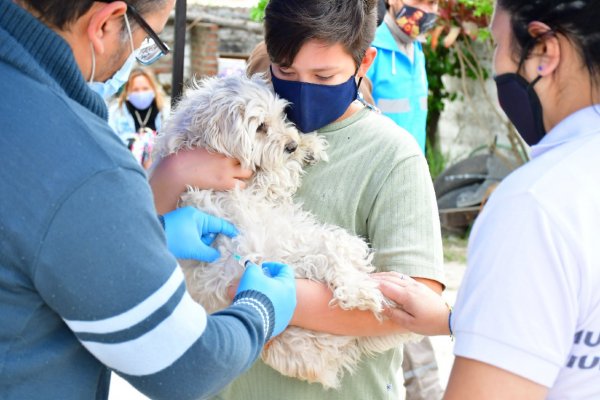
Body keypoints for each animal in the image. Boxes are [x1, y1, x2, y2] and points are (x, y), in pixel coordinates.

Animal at [152, 73, 420, 390]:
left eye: (282, 116)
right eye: (260, 127)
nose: (291, 144)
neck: (199, 141)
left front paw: (307, 144)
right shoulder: (253, 184)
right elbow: (279, 175)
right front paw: (305, 148)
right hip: (307, 244)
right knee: (341, 261)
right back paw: (363, 289)